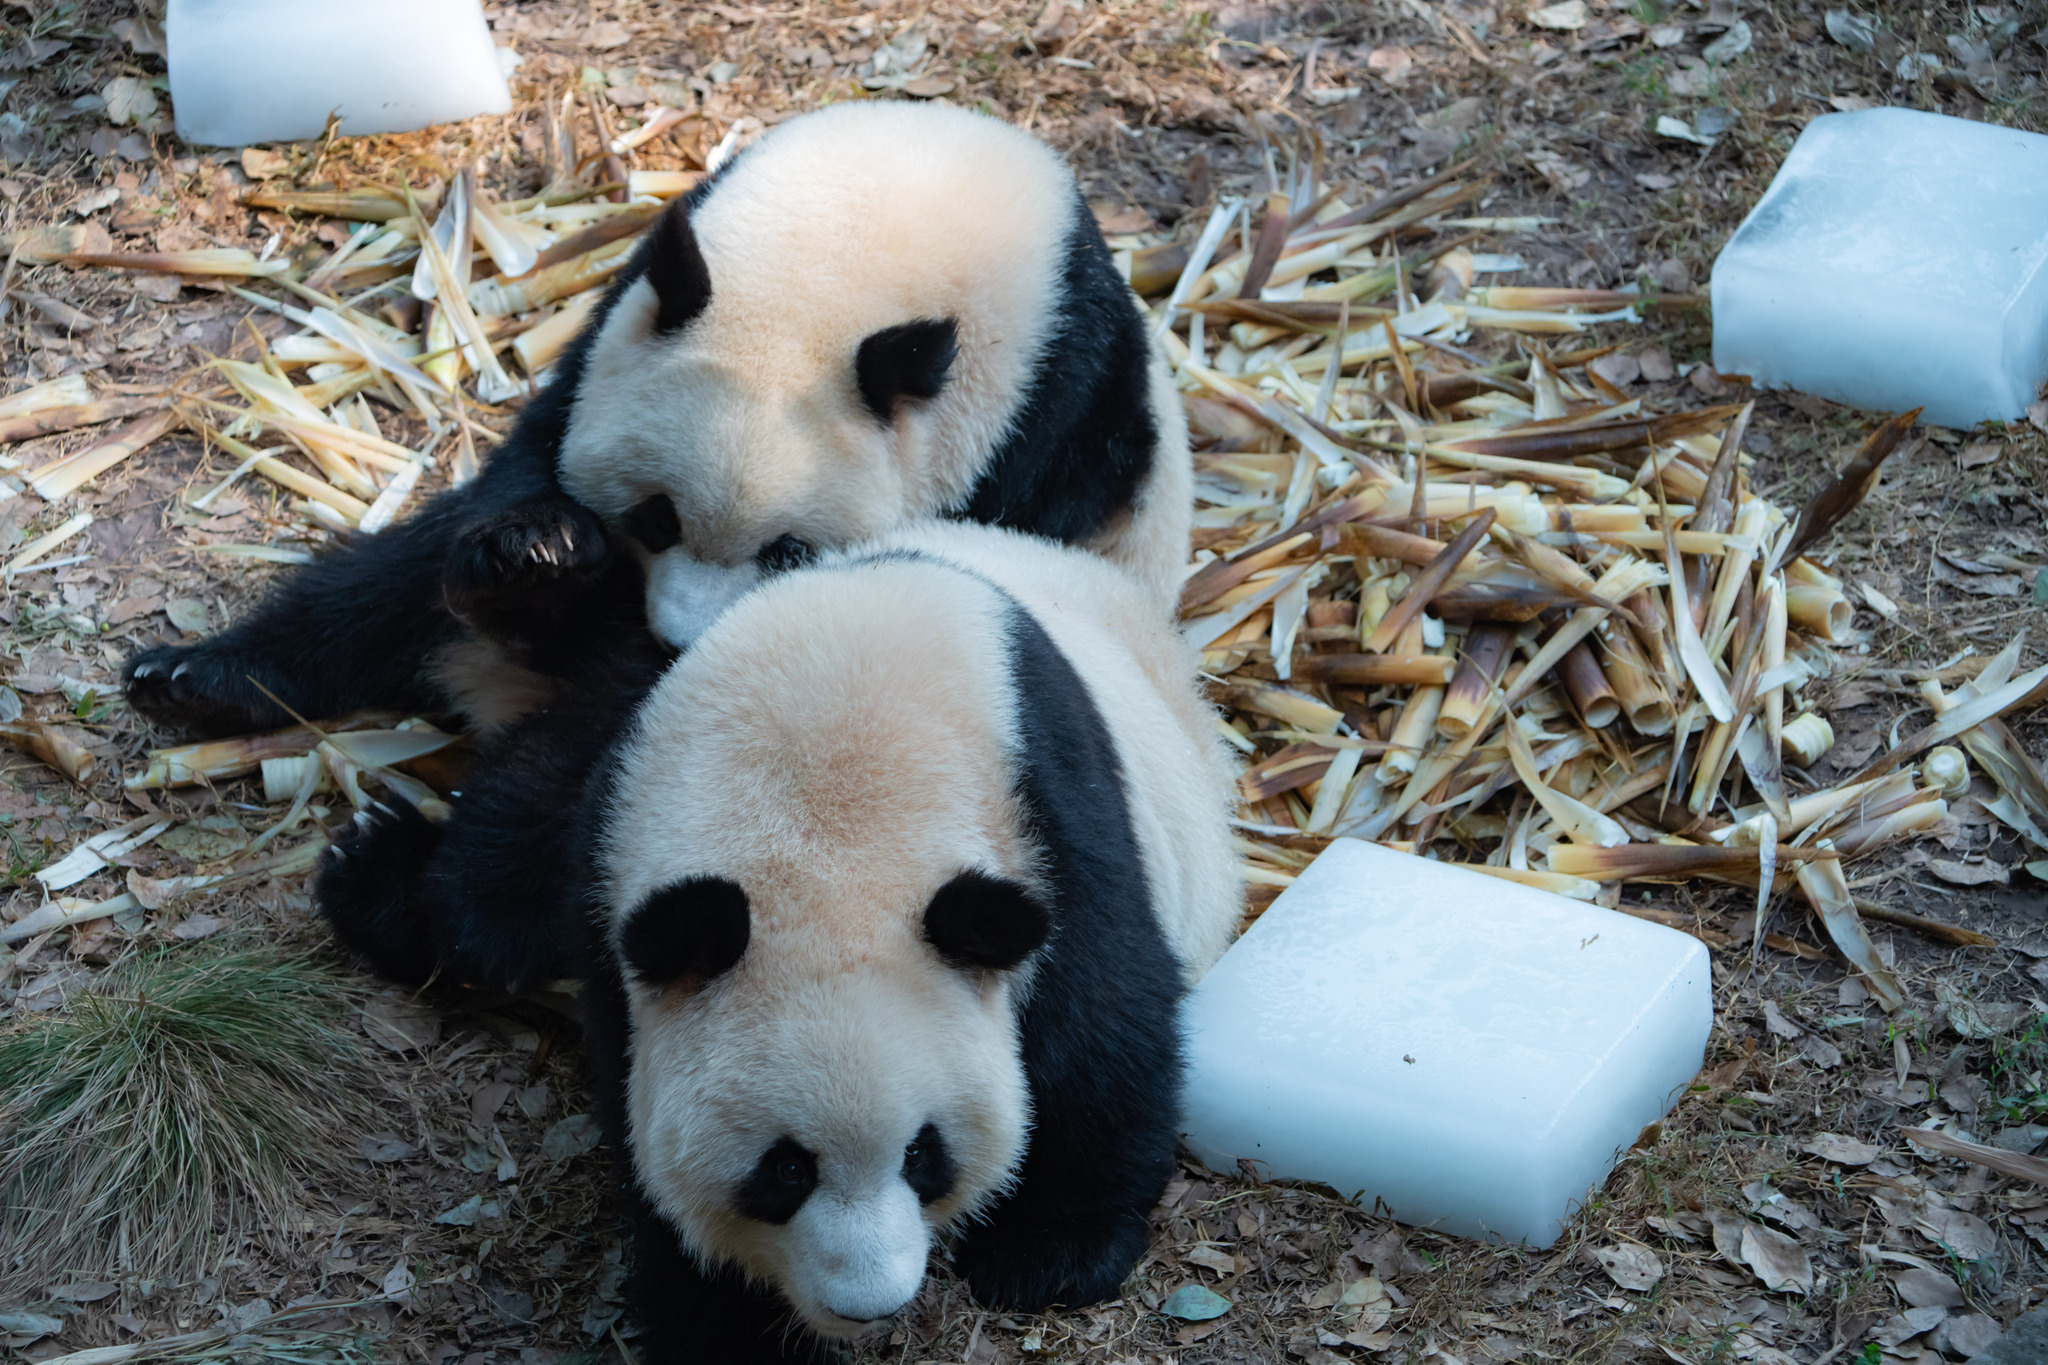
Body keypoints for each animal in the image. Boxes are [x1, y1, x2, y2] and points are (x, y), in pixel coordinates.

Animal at [119, 101, 1196, 740]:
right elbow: (526, 476)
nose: (676, 638)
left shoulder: (1040, 413)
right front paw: (533, 560)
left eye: (789, 552)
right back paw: (194, 677)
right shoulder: (627, 314)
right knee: (382, 586)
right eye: (654, 518)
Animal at [311, 519, 1236, 1358]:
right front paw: (725, 1319)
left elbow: (1100, 1021)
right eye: (786, 1170)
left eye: (923, 1154)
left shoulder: (1046, 805)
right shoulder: (618, 853)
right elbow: (636, 1109)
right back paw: (376, 871)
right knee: (496, 884)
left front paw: (1049, 1253)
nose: (869, 1304)